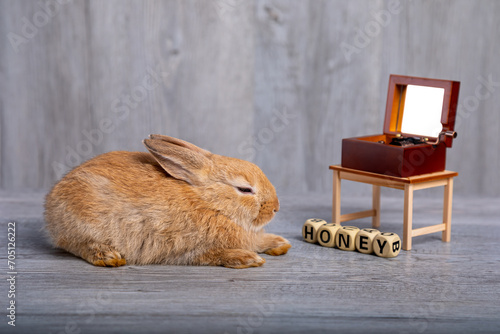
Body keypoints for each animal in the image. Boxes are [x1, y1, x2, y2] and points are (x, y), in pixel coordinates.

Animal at [46, 134, 292, 268]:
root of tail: (52, 203)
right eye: (244, 189)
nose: (276, 208)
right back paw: (108, 257)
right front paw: (247, 259)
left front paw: (279, 244)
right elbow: (214, 254)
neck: (211, 204)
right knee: (81, 245)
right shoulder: (190, 248)